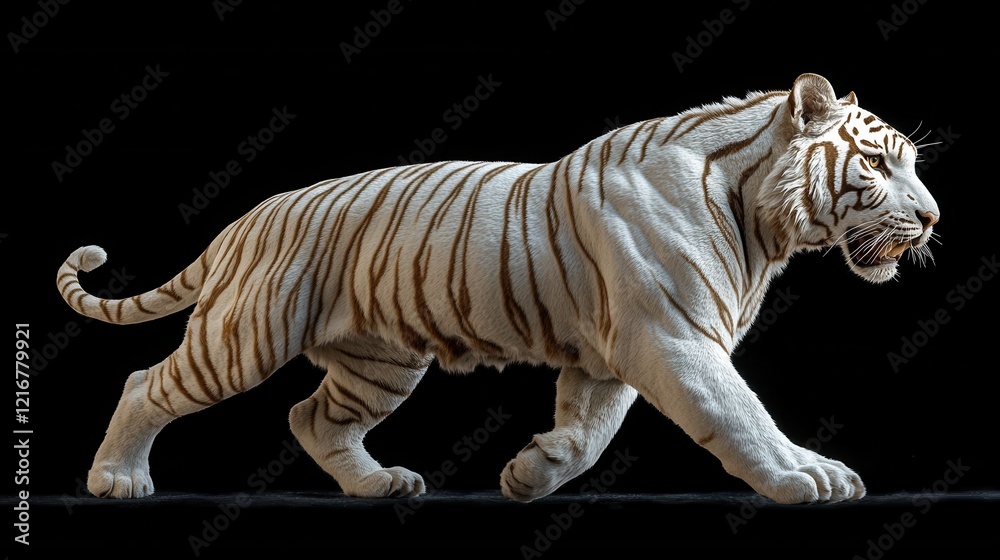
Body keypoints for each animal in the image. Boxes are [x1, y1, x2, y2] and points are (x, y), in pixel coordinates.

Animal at [58, 73, 939, 505]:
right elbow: (740, 413)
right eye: (877, 163)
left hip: (379, 362)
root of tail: (245, 219)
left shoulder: (612, 352)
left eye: (910, 163)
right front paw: (806, 478)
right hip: (245, 335)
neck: (763, 216)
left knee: (313, 416)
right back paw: (117, 481)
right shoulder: (674, 336)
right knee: (146, 383)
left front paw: (529, 473)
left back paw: (377, 486)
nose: (933, 218)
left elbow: (589, 433)